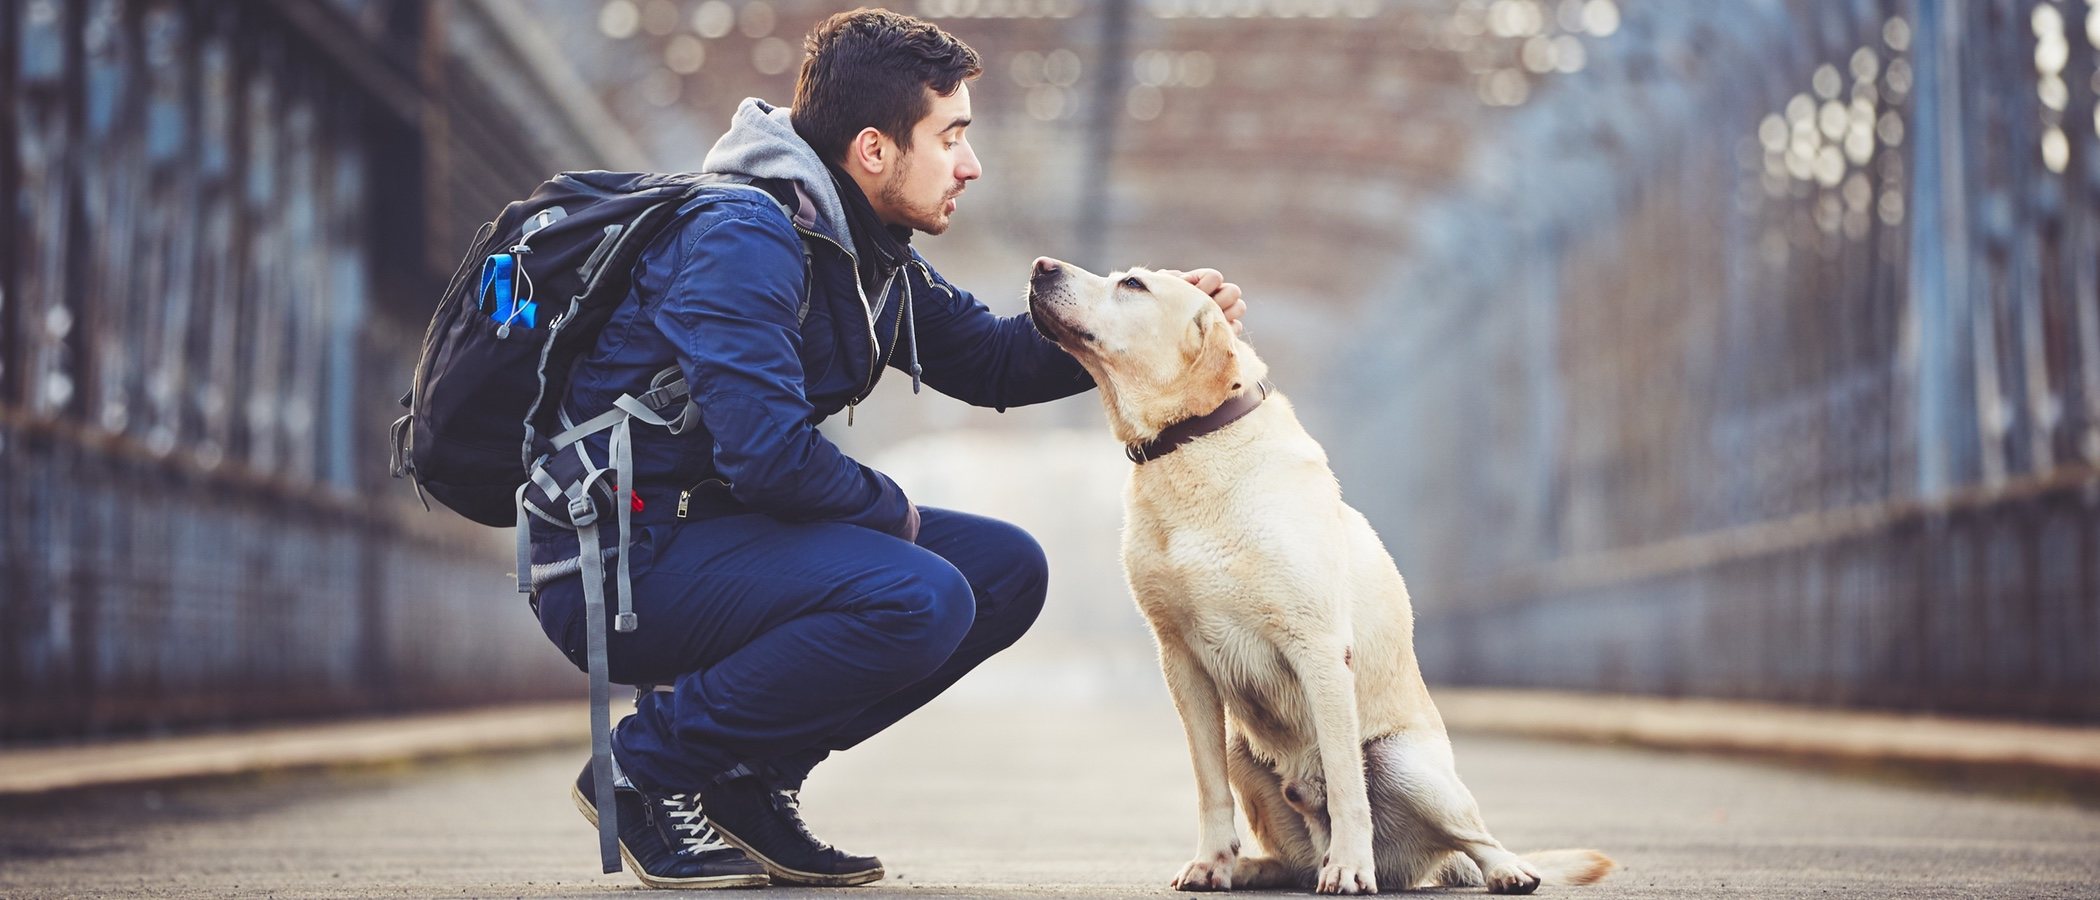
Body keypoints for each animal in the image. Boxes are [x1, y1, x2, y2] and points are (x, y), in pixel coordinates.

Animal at [1024, 258, 1612, 889]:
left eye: (1132, 284)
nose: (1041, 266)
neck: (1194, 446)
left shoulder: (1320, 649)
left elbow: (1346, 781)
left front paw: (1351, 869)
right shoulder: (1180, 660)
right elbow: (1208, 785)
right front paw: (1211, 861)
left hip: (1407, 764)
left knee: (1474, 838)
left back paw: (1500, 870)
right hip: (1243, 747)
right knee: (1293, 858)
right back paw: (1251, 868)